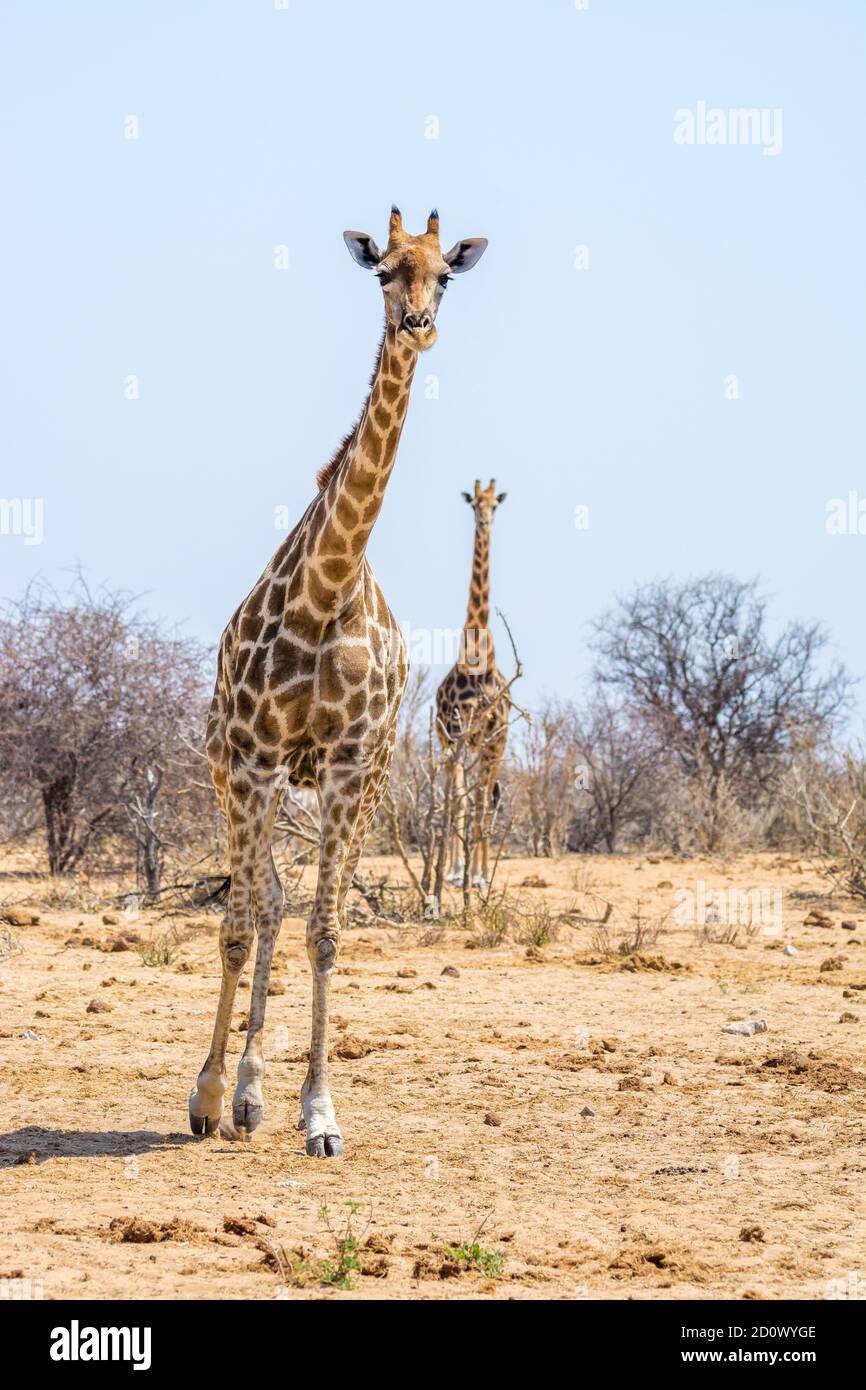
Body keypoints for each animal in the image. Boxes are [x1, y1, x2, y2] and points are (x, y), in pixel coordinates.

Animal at [188, 207, 487, 1157]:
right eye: (384, 270)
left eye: (446, 274)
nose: (418, 324)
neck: (328, 589)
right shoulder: (253, 759)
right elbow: (238, 923)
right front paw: (208, 1097)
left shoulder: (355, 766)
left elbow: (325, 931)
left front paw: (318, 1114)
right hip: (233, 771)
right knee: (258, 903)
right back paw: (233, 1095)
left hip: (344, 780)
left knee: (286, 904)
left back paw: (258, 1096)